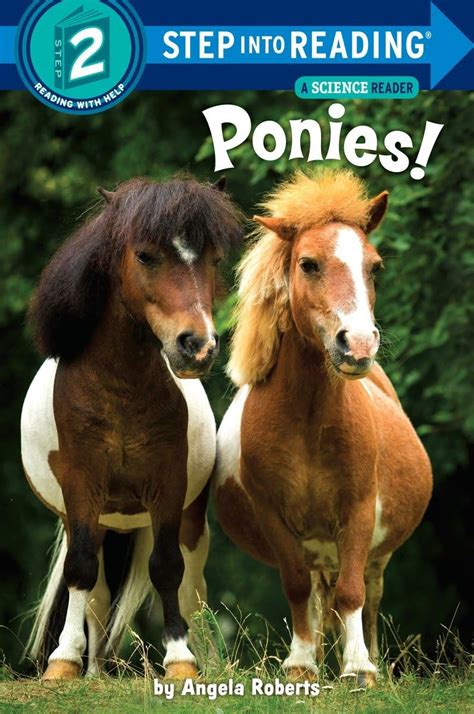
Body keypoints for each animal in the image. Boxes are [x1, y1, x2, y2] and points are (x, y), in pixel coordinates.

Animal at [21, 175, 242, 680]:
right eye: (144, 255)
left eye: (215, 259)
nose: (198, 346)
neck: (120, 390)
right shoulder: (81, 488)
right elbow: (80, 572)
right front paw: (63, 664)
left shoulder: (168, 487)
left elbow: (167, 569)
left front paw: (181, 662)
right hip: (96, 520)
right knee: (96, 595)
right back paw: (93, 671)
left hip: (188, 520)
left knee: (191, 589)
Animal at [213, 169, 432, 687]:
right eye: (308, 264)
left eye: (375, 268)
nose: (359, 344)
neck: (308, 420)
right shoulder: (274, 518)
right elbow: (296, 588)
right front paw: (300, 665)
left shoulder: (357, 513)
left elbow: (352, 593)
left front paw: (358, 669)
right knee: (314, 595)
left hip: (375, 554)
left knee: (367, 597)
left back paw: (373, 661)